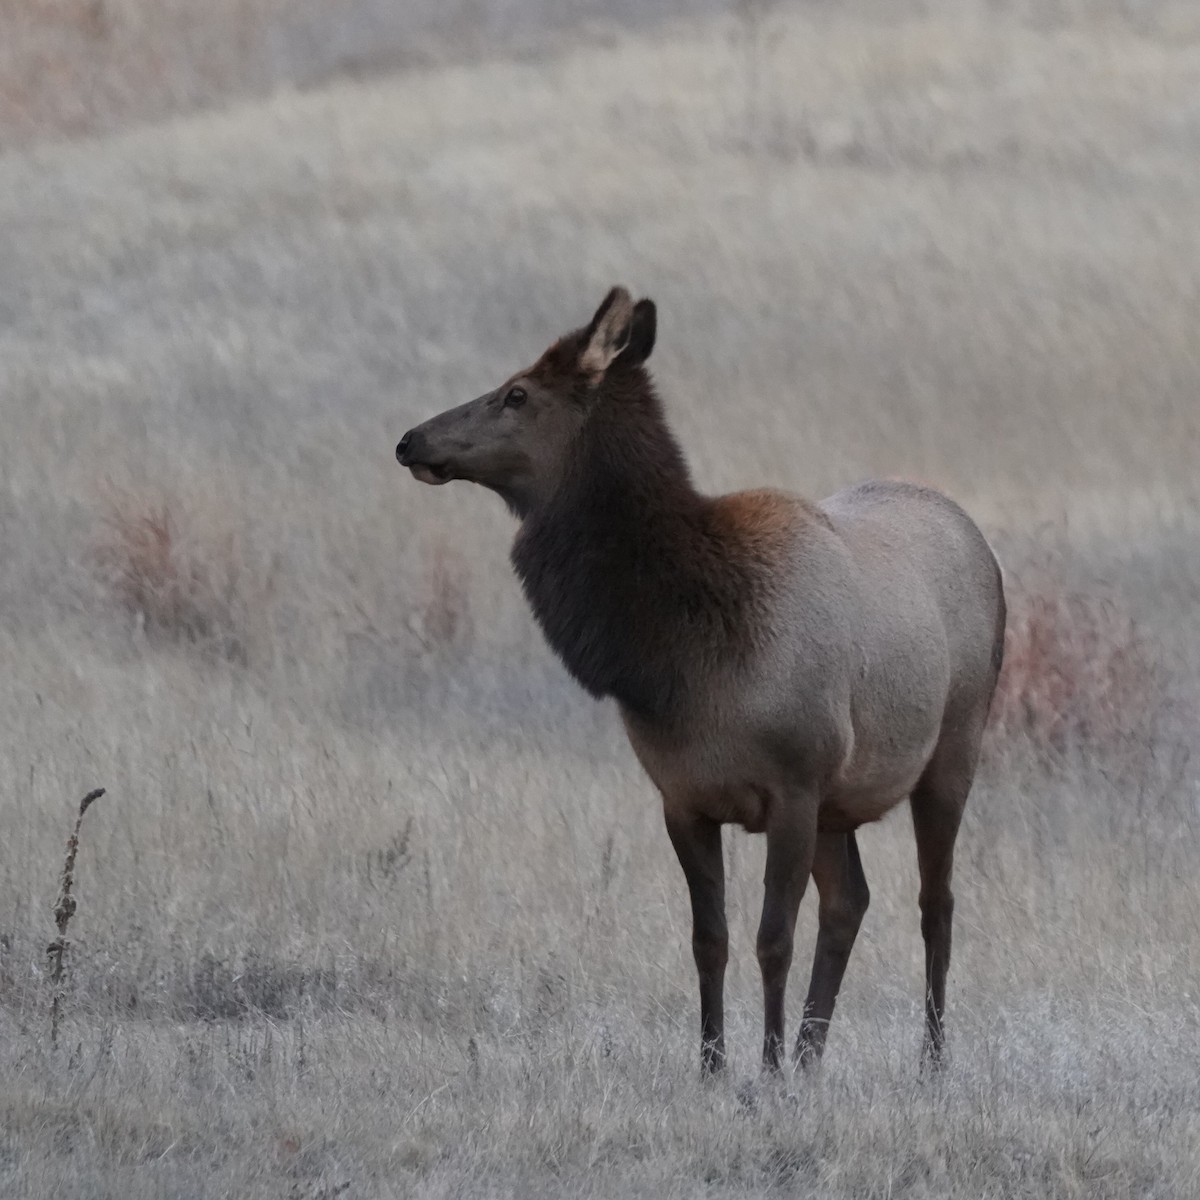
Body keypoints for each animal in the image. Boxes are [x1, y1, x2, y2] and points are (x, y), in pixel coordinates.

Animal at [396, 287, 1006, 1075]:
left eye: (517, 393)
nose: (410, 439)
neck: (685, 659)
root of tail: (980, 542)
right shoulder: (683, 797)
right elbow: (708, 940)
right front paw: (713, 1067)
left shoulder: (795, 784)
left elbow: (772, 939)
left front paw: (766, 1070)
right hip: (842, 800)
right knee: (852, 901)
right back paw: (813, 1056)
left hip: (951, 751)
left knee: (937, 902)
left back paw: (926, 1060)